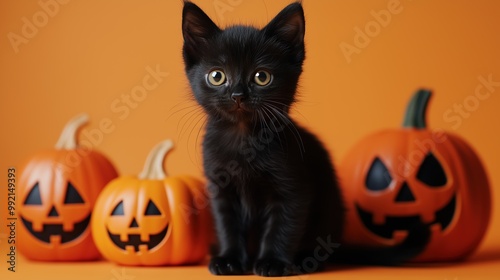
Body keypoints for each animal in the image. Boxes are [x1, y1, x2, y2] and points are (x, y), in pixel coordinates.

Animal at [182, 1, 346, 276]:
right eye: (217, 76)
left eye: (262, 77)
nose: (238, 94)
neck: (243, 138)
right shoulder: (220, 189)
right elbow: (227, 225)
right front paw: (229, 259)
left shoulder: (293, 188)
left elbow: (283, 226)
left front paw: (273, 262)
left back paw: (304, 259)